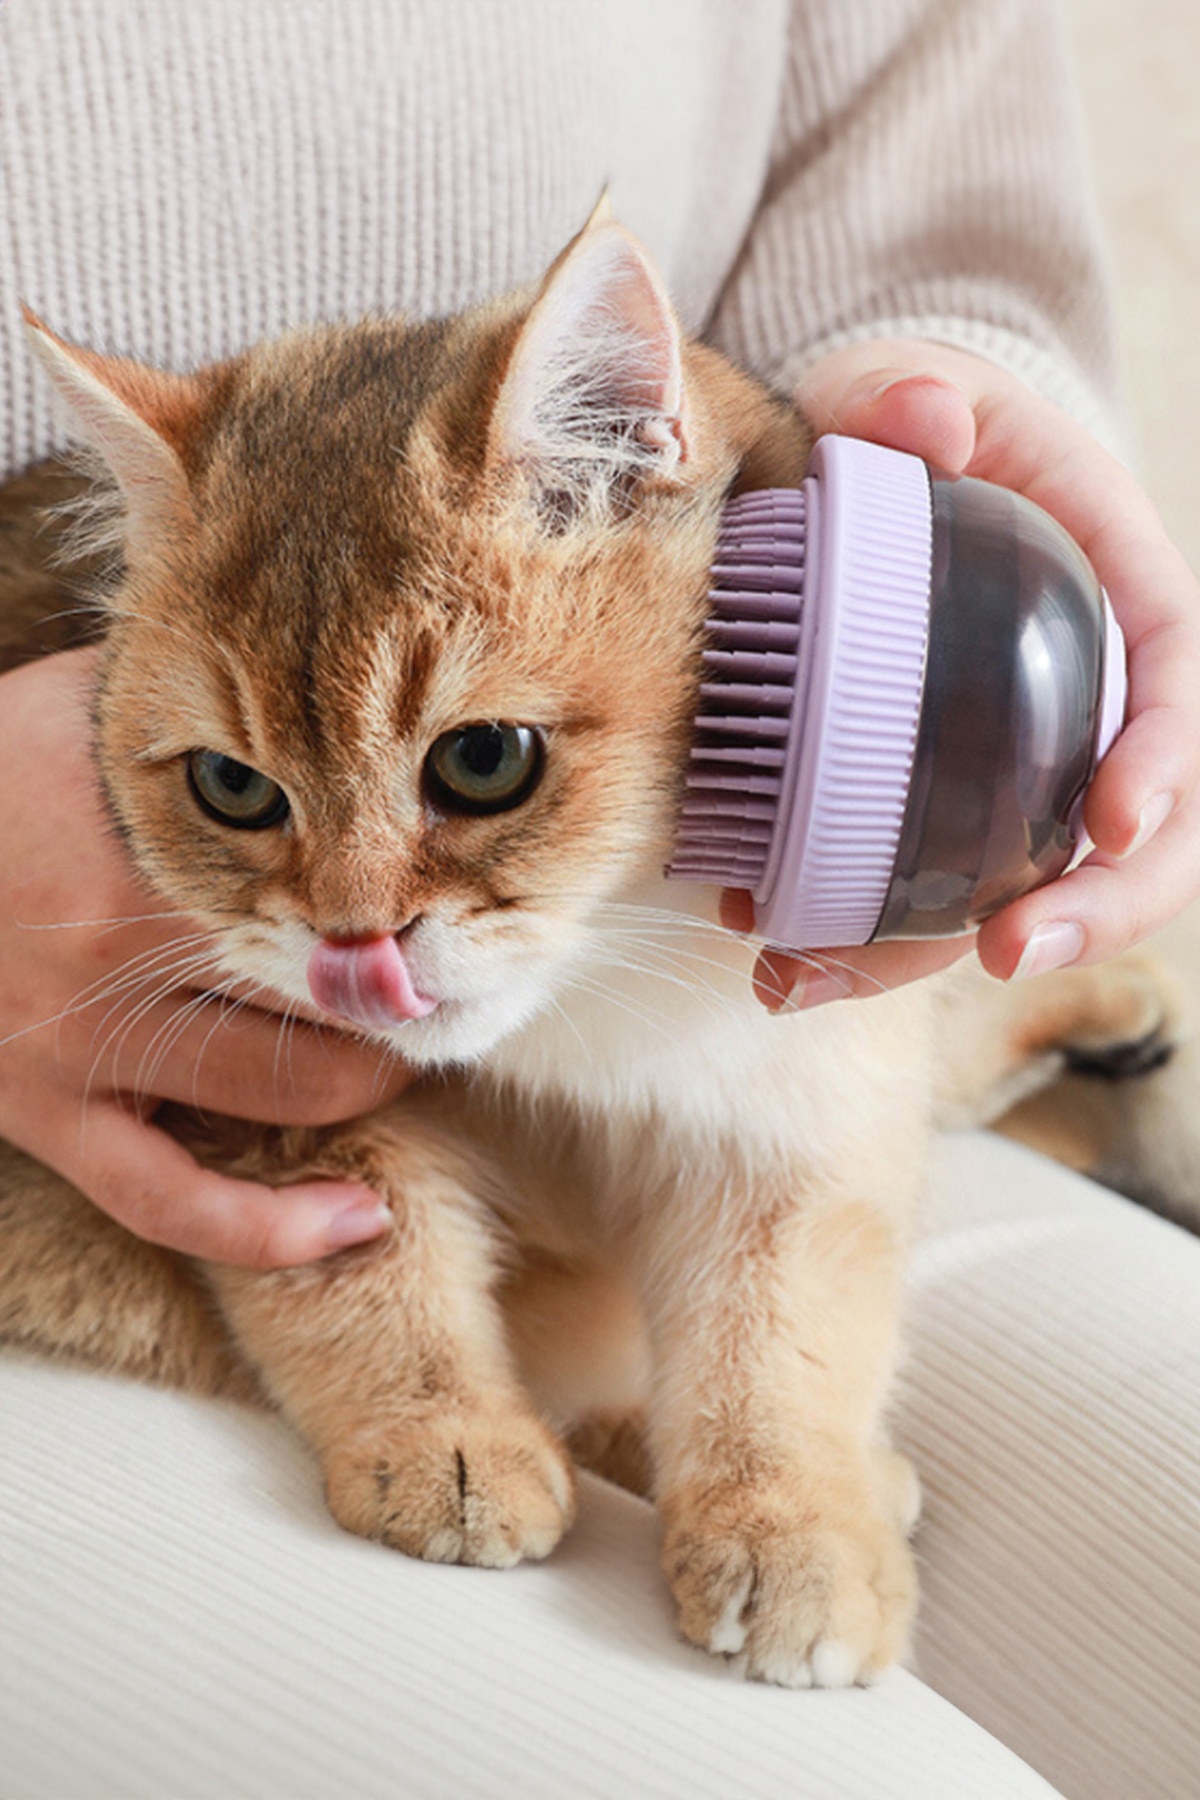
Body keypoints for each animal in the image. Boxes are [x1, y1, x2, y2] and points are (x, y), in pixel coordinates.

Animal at [0, 210, 1173, 1684]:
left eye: (484, 760)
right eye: (231, 789)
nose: (352, 944)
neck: (603, 998)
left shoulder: (804, 1098)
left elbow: (779, 1332)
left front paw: (791, 1521)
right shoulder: (266, 1102)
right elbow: (370, 1269)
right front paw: (446, 1435)